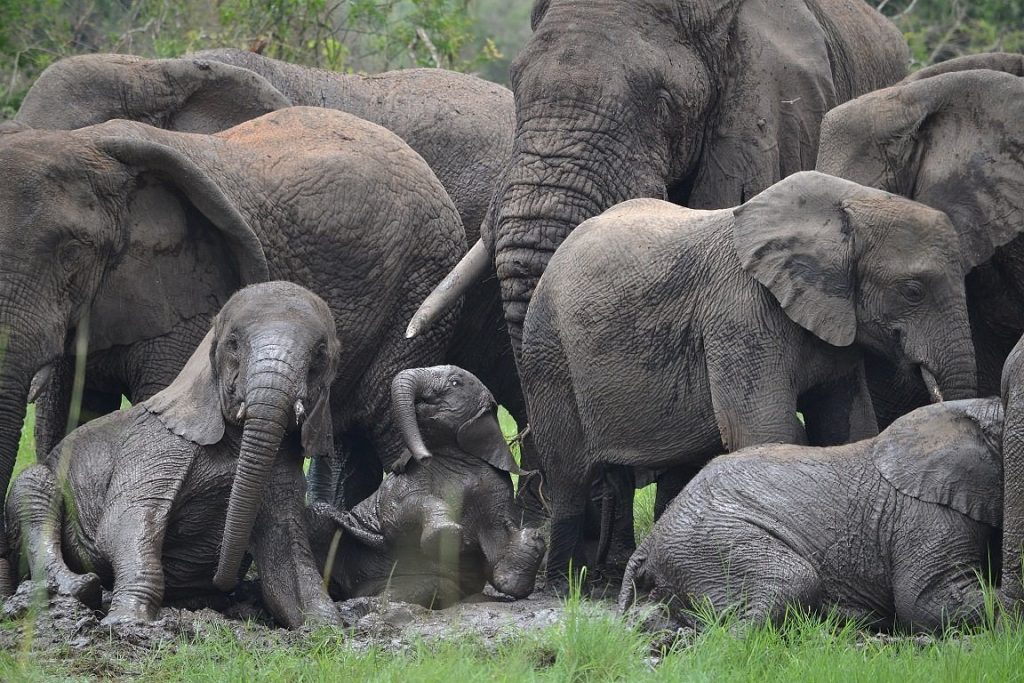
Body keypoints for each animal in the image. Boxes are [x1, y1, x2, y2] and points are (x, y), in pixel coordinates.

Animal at [5, 282, 342, 629]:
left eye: (320, 353)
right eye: (233, 344)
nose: (222, 579)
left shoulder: (283, 470)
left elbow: (287, 554)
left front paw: (326, 629)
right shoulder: (156, 446)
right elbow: (124, 523)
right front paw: (127, 623)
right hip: (42, 484)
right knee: (34, 488)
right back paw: (77, 589)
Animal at [306, 366, 545, 608]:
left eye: (455, 383)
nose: (424, 457)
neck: (456, 456)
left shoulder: (496, 487)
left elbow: (496, 559)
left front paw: (531, 540)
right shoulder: (405, 480)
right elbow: (396, 517)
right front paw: (446, 534)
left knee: (428, 587)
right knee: (320, 515)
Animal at [520, 171, 985, 586]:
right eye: (913, 291)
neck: (847, 205)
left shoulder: (835, 325)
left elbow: (847, 427)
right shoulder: (741, 314)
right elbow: (763, 430)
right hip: (548, 352)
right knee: (568, 475)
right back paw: (565, 585)